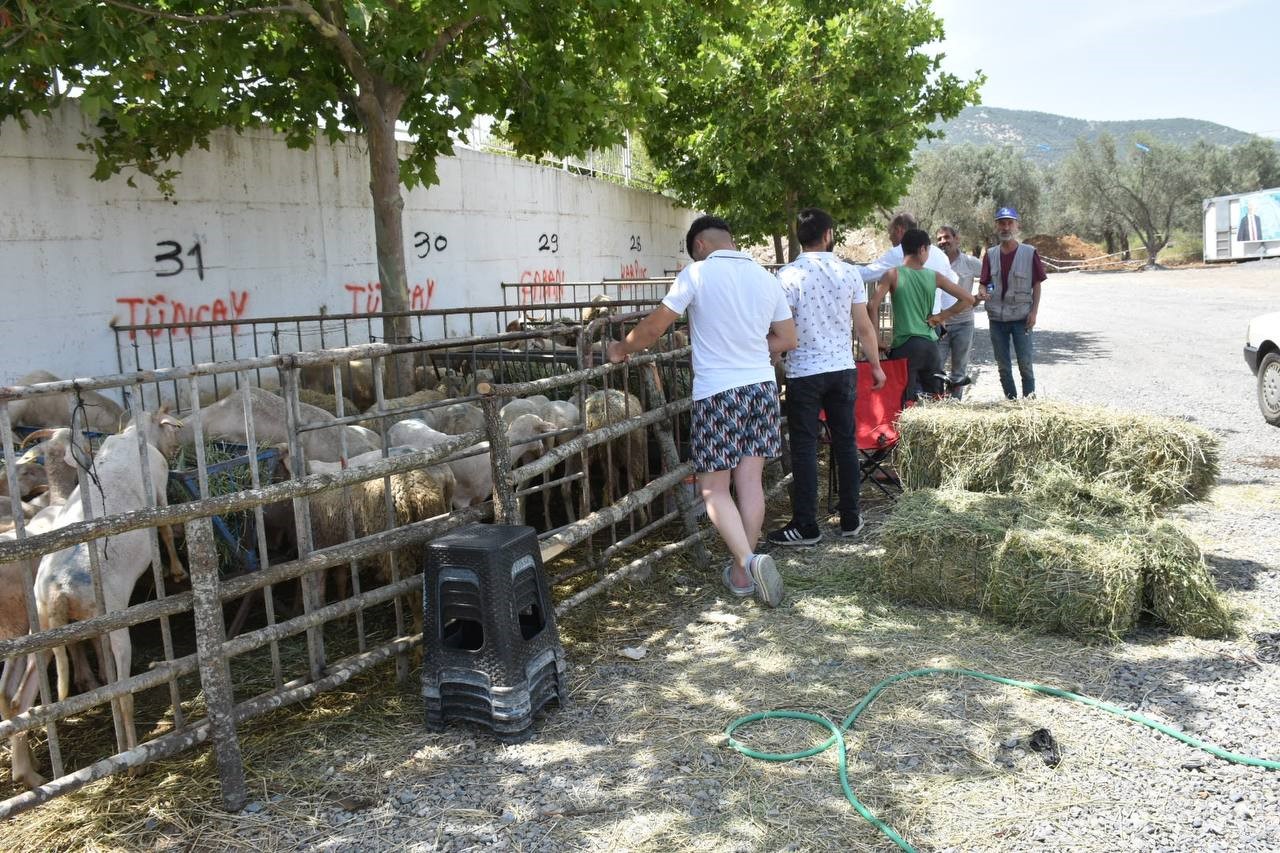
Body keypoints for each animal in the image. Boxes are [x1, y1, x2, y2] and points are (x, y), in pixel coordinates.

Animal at [32, 407, 185, 742]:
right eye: (170, 427)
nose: (179, 447)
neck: (133, 437)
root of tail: (59, 590)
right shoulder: (159, 487)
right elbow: (166, 531)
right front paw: (178, 571)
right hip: (114, 621)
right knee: (123, 692)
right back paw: (132, 747)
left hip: (50, 623)